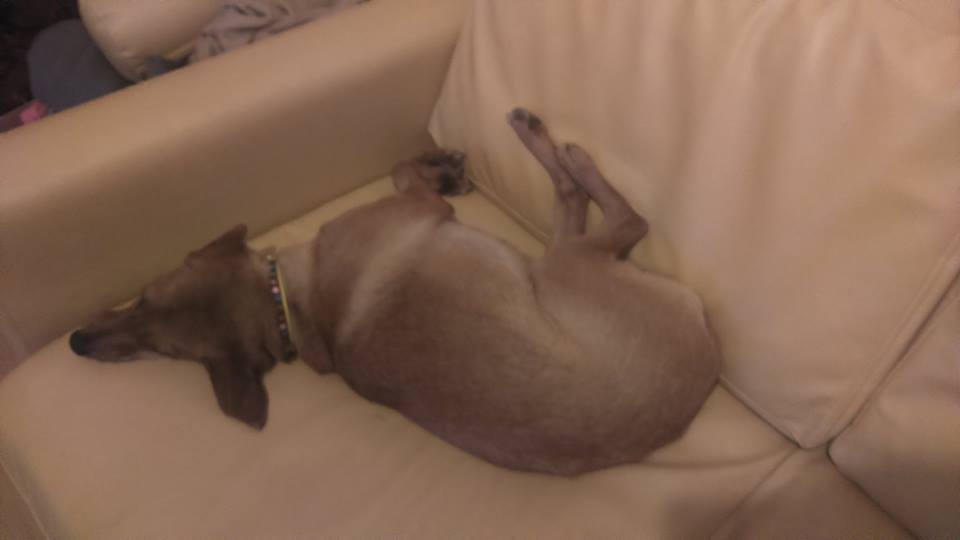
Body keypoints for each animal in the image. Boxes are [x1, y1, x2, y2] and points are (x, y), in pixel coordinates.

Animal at [70, 108, 720, 475]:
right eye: (165, 350)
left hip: (546, 267)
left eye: (145, 299)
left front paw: (444, 164)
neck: (292, 306)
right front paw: (440, 165)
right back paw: (557, 147)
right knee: (618, 216)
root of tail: (702, 383)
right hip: (565, 266)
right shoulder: (423, 208)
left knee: (578, 208)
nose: (77, 342)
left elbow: (403, 168)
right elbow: (403, 170)